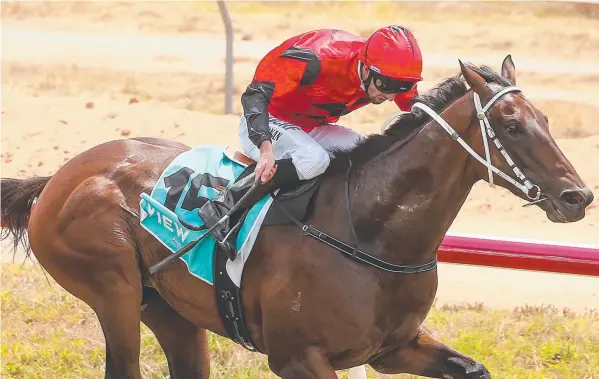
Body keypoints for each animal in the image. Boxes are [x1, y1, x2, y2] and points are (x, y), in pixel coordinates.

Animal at [0, 57, 592, 379]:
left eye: (545, 119)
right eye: (511, 126)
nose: (577, 197)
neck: (371, 233)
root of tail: (59, 177)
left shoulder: (393, 347)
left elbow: (472, 366)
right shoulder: (298, 358)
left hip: (170, 311)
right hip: (113, 290)